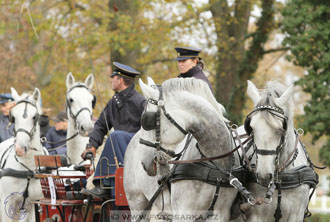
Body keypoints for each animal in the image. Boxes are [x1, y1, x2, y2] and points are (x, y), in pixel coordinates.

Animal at [0, 87, 44, 221]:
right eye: (13, 117)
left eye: (34, 117)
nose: (20, 148)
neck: (27, 169)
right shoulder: (7, 202)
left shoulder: (34, 205)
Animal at [124, 77, 242, 221]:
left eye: (147, 121)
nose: (143, 163)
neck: (214, 164)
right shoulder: (183, 211)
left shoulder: (221, 214)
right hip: (137, 203)